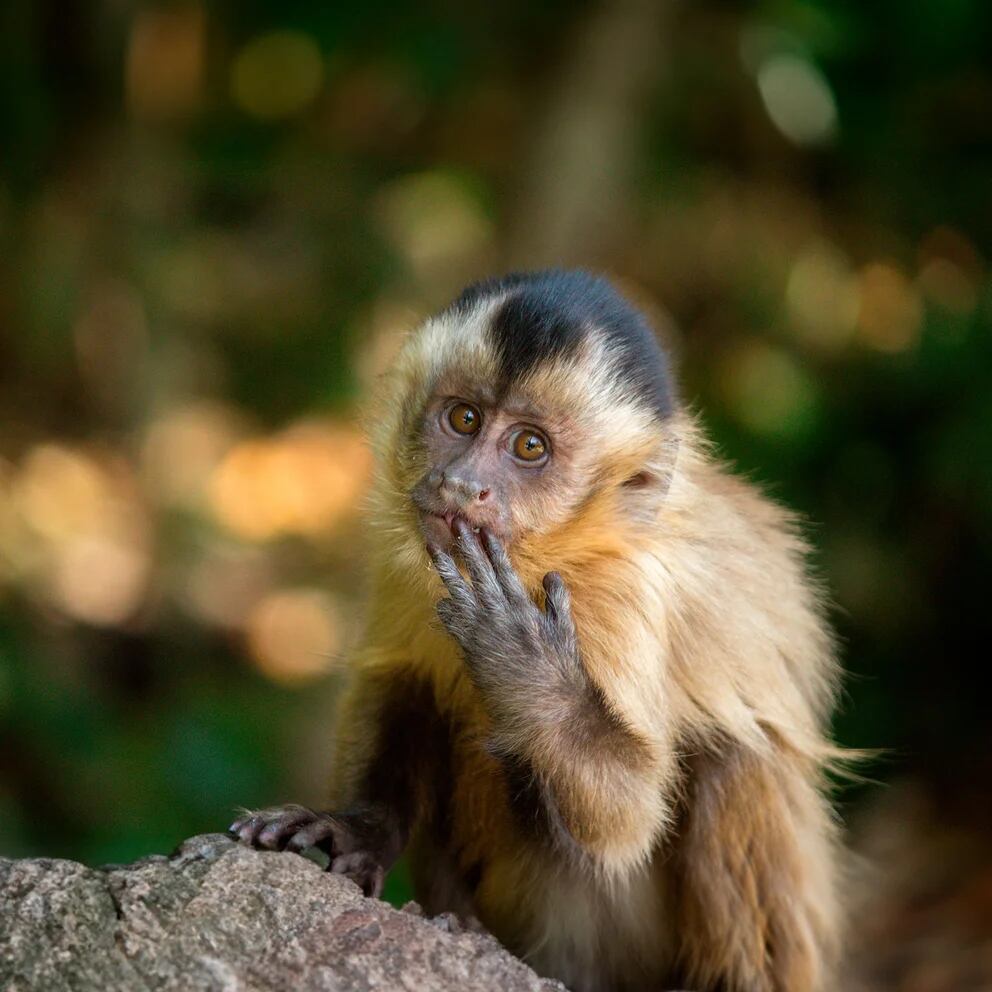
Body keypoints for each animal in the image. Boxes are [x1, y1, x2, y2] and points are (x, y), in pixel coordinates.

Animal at [231, 272, 844, 992]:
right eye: (463, 418)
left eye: (530, 447)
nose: (462, 484)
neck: (549, 553)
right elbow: (400, 680)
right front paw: (356, 830)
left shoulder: (617, 594)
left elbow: (628, 817)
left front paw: (526, 666)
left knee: (736, 756)